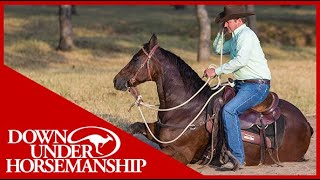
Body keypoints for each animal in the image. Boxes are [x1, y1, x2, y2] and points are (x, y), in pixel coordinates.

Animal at [114, 34, 314, 167]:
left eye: (136, 58)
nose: (117, 80)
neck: (187, 108)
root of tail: (306, 122)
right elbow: (134, 126)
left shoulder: (181, 153)